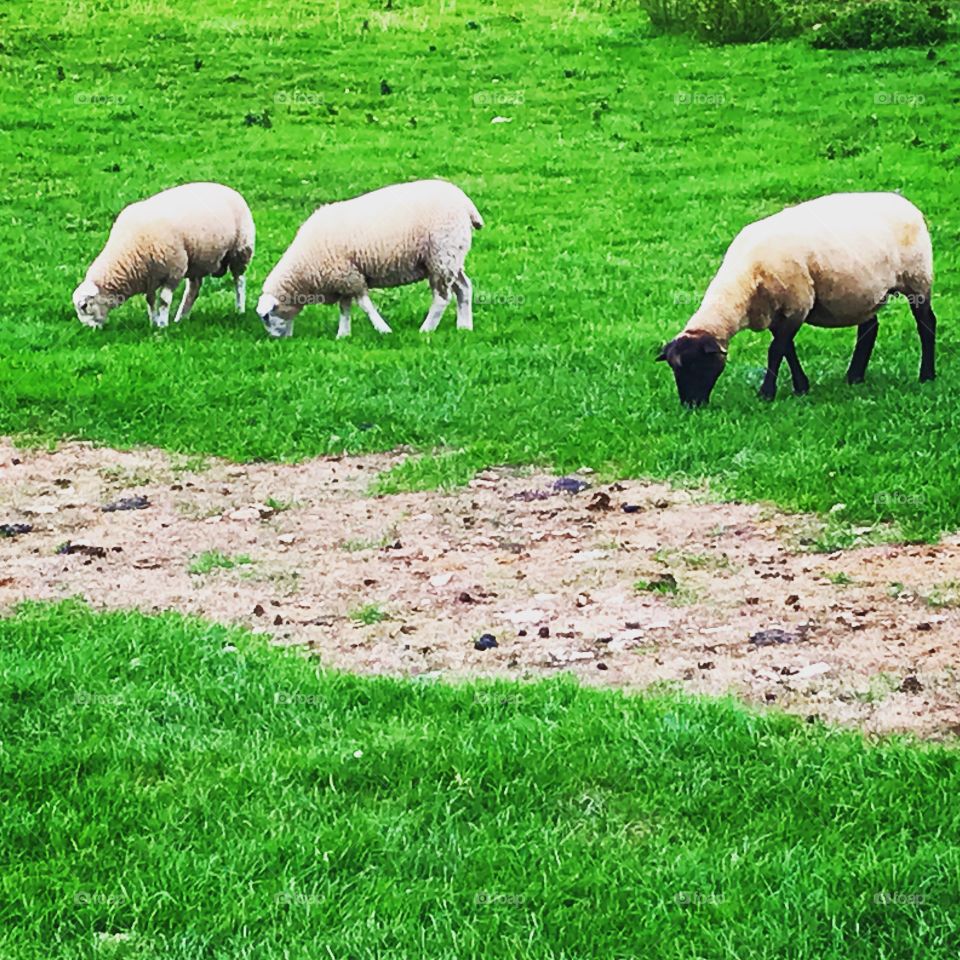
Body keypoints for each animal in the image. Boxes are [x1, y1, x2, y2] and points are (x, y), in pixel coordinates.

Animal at [73, 182, 255, 329]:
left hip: (240, 249)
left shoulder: (174, 271)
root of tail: (229, 189)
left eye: (84, 306)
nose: (89, 330)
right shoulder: (149, 277)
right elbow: (150, 301)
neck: (127, 252)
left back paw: (240, 309)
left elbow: (164, 300)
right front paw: (153, 322)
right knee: (193, 289)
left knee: (239, 281)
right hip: (196, 262)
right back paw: (181, 317)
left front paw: (162, 325)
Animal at [256, 179, 483, 338]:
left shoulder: (350, 276)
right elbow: (345, 308)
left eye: (266, 317)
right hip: (452, 257)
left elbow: (365, 305)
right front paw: (343, 335)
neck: (303, 269)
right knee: (464, 287)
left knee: (442, 298)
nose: (276, 340)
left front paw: (383, 330)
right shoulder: (343, 278)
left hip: (441, 256)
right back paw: (464, 327)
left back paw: (426, 329)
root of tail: (467, 205)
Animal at [657, 192, 936, 406]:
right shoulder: (774, 312)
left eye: (696, 365)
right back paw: (854, 377)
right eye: (674, 369)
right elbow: (787, 349)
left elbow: (776, 350)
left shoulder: (797, 305)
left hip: (917, 278)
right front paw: (801, 387)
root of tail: (905, 203)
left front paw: (766, 393)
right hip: (862, 291)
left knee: (926, 324)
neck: (744, 282)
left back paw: (927, 376)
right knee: (869, 328)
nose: (691, 405)